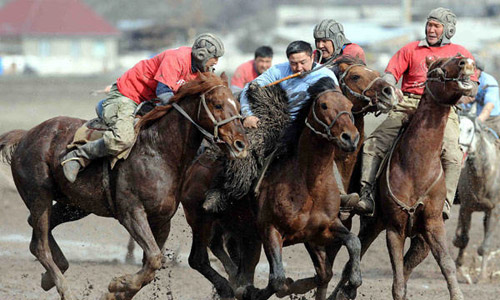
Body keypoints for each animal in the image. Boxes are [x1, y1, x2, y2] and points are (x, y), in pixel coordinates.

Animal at [0, 72, 249, 300]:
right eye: (218, 104)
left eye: (238, 105)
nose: (240, 144)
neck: (158, 152)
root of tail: (26, 135)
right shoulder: (132, 212)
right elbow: (154, 259)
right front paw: (117, 287)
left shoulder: (161, 220)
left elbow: (151, 263)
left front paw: (118, 290)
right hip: (39, 196)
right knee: (39, 244)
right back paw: (64, 288)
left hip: (75, 205)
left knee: (37, 231)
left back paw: (52, 274)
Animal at [332, 54, 476, 300]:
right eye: (438, 65)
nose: (465, 61)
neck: (417, 165)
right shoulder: (395, 229)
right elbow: (398, 282)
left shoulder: (433, 226)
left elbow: (446, 267)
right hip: (373, 223)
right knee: (354, 259)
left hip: (418, 238)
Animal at [454, 113, 500, 282]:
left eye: (470, 130)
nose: (460, 148)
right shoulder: (466, 207)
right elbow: (464, 239)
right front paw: (460, 267)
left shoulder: (494, 211)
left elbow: (485, 246)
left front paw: (482, 276)